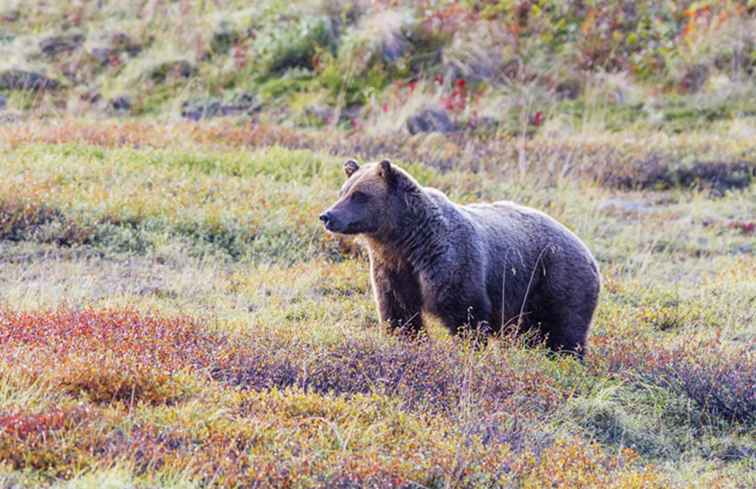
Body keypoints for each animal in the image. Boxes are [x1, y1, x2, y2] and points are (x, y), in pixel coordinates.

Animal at [318, 158, 604, 356]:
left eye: (359, 195)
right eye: (342, 191)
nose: (327, 216)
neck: (406, 241)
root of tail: (588, 252)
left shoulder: (451, 262)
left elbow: (466, 314)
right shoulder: (392, 269)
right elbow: (399, 313)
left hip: (556, 278)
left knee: (565, 329)